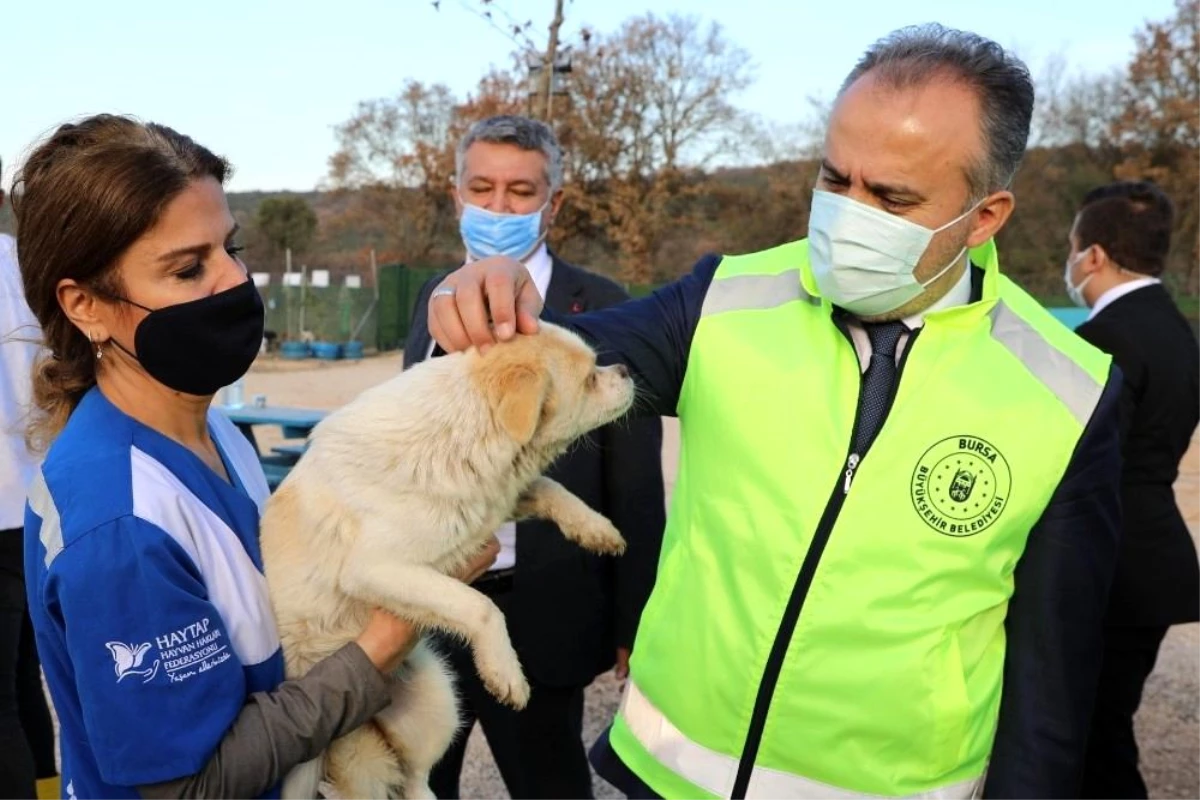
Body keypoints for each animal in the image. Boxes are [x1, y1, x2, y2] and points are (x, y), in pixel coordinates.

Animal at [264, 321, 638, 800]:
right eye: (590, 377)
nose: (625, 369)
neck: (457, 433)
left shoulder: (495, 501)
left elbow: (551, 488)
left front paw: (597, 529)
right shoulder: (377, 568)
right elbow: (480, 606)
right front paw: (506, 672)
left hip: (436, 700)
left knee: (417, 780)